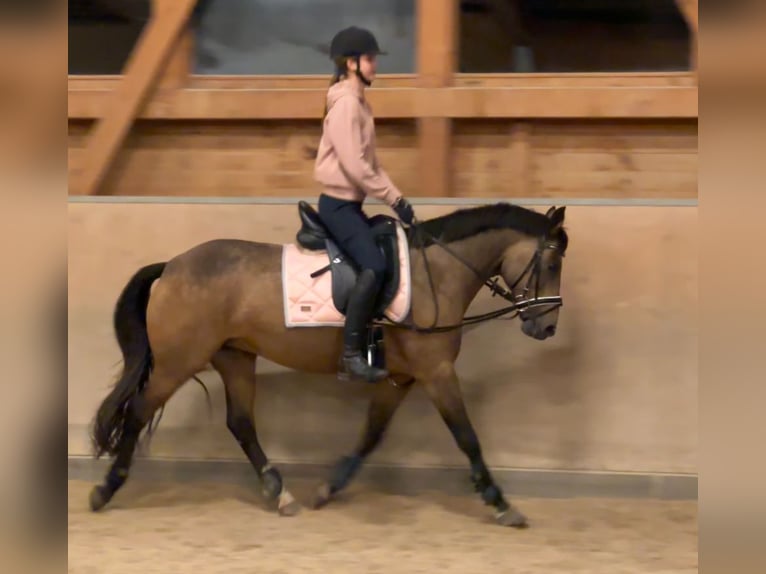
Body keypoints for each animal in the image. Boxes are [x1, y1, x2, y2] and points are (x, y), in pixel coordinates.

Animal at [90, 202, 568, 532]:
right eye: (550, 262)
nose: (546, 326)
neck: (438, 272)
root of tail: (172, 266)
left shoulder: (401, 377)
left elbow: (371, 434)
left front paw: (328, 488)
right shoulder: (436, 372)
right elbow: (467, 437)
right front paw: (501, 503)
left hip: (235, 357)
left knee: (240, 422)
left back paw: (280, 493)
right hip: (178, 361)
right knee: (138, 412)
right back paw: (105, 489)